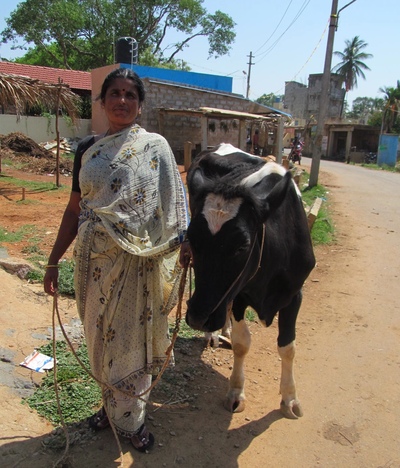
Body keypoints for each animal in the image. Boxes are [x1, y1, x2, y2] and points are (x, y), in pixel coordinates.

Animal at [185, 142, 316, 416]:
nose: (198, 318)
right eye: (191, 238)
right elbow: (242, 343)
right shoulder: (239, 294)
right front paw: (236, 392)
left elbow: (288, 347)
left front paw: (290, 398)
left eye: (242, 246)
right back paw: (214, 334)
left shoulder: (295, 293)